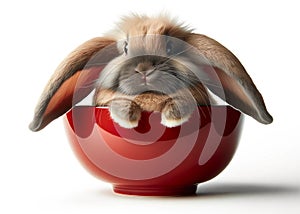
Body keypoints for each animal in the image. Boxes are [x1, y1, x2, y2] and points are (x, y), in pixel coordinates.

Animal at [29, 14, 274, 131]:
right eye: (125, 48)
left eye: (170, 47)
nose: (144, 69)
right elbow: (116, 101)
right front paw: (128, 116)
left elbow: (183, 101)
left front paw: (172, 118)